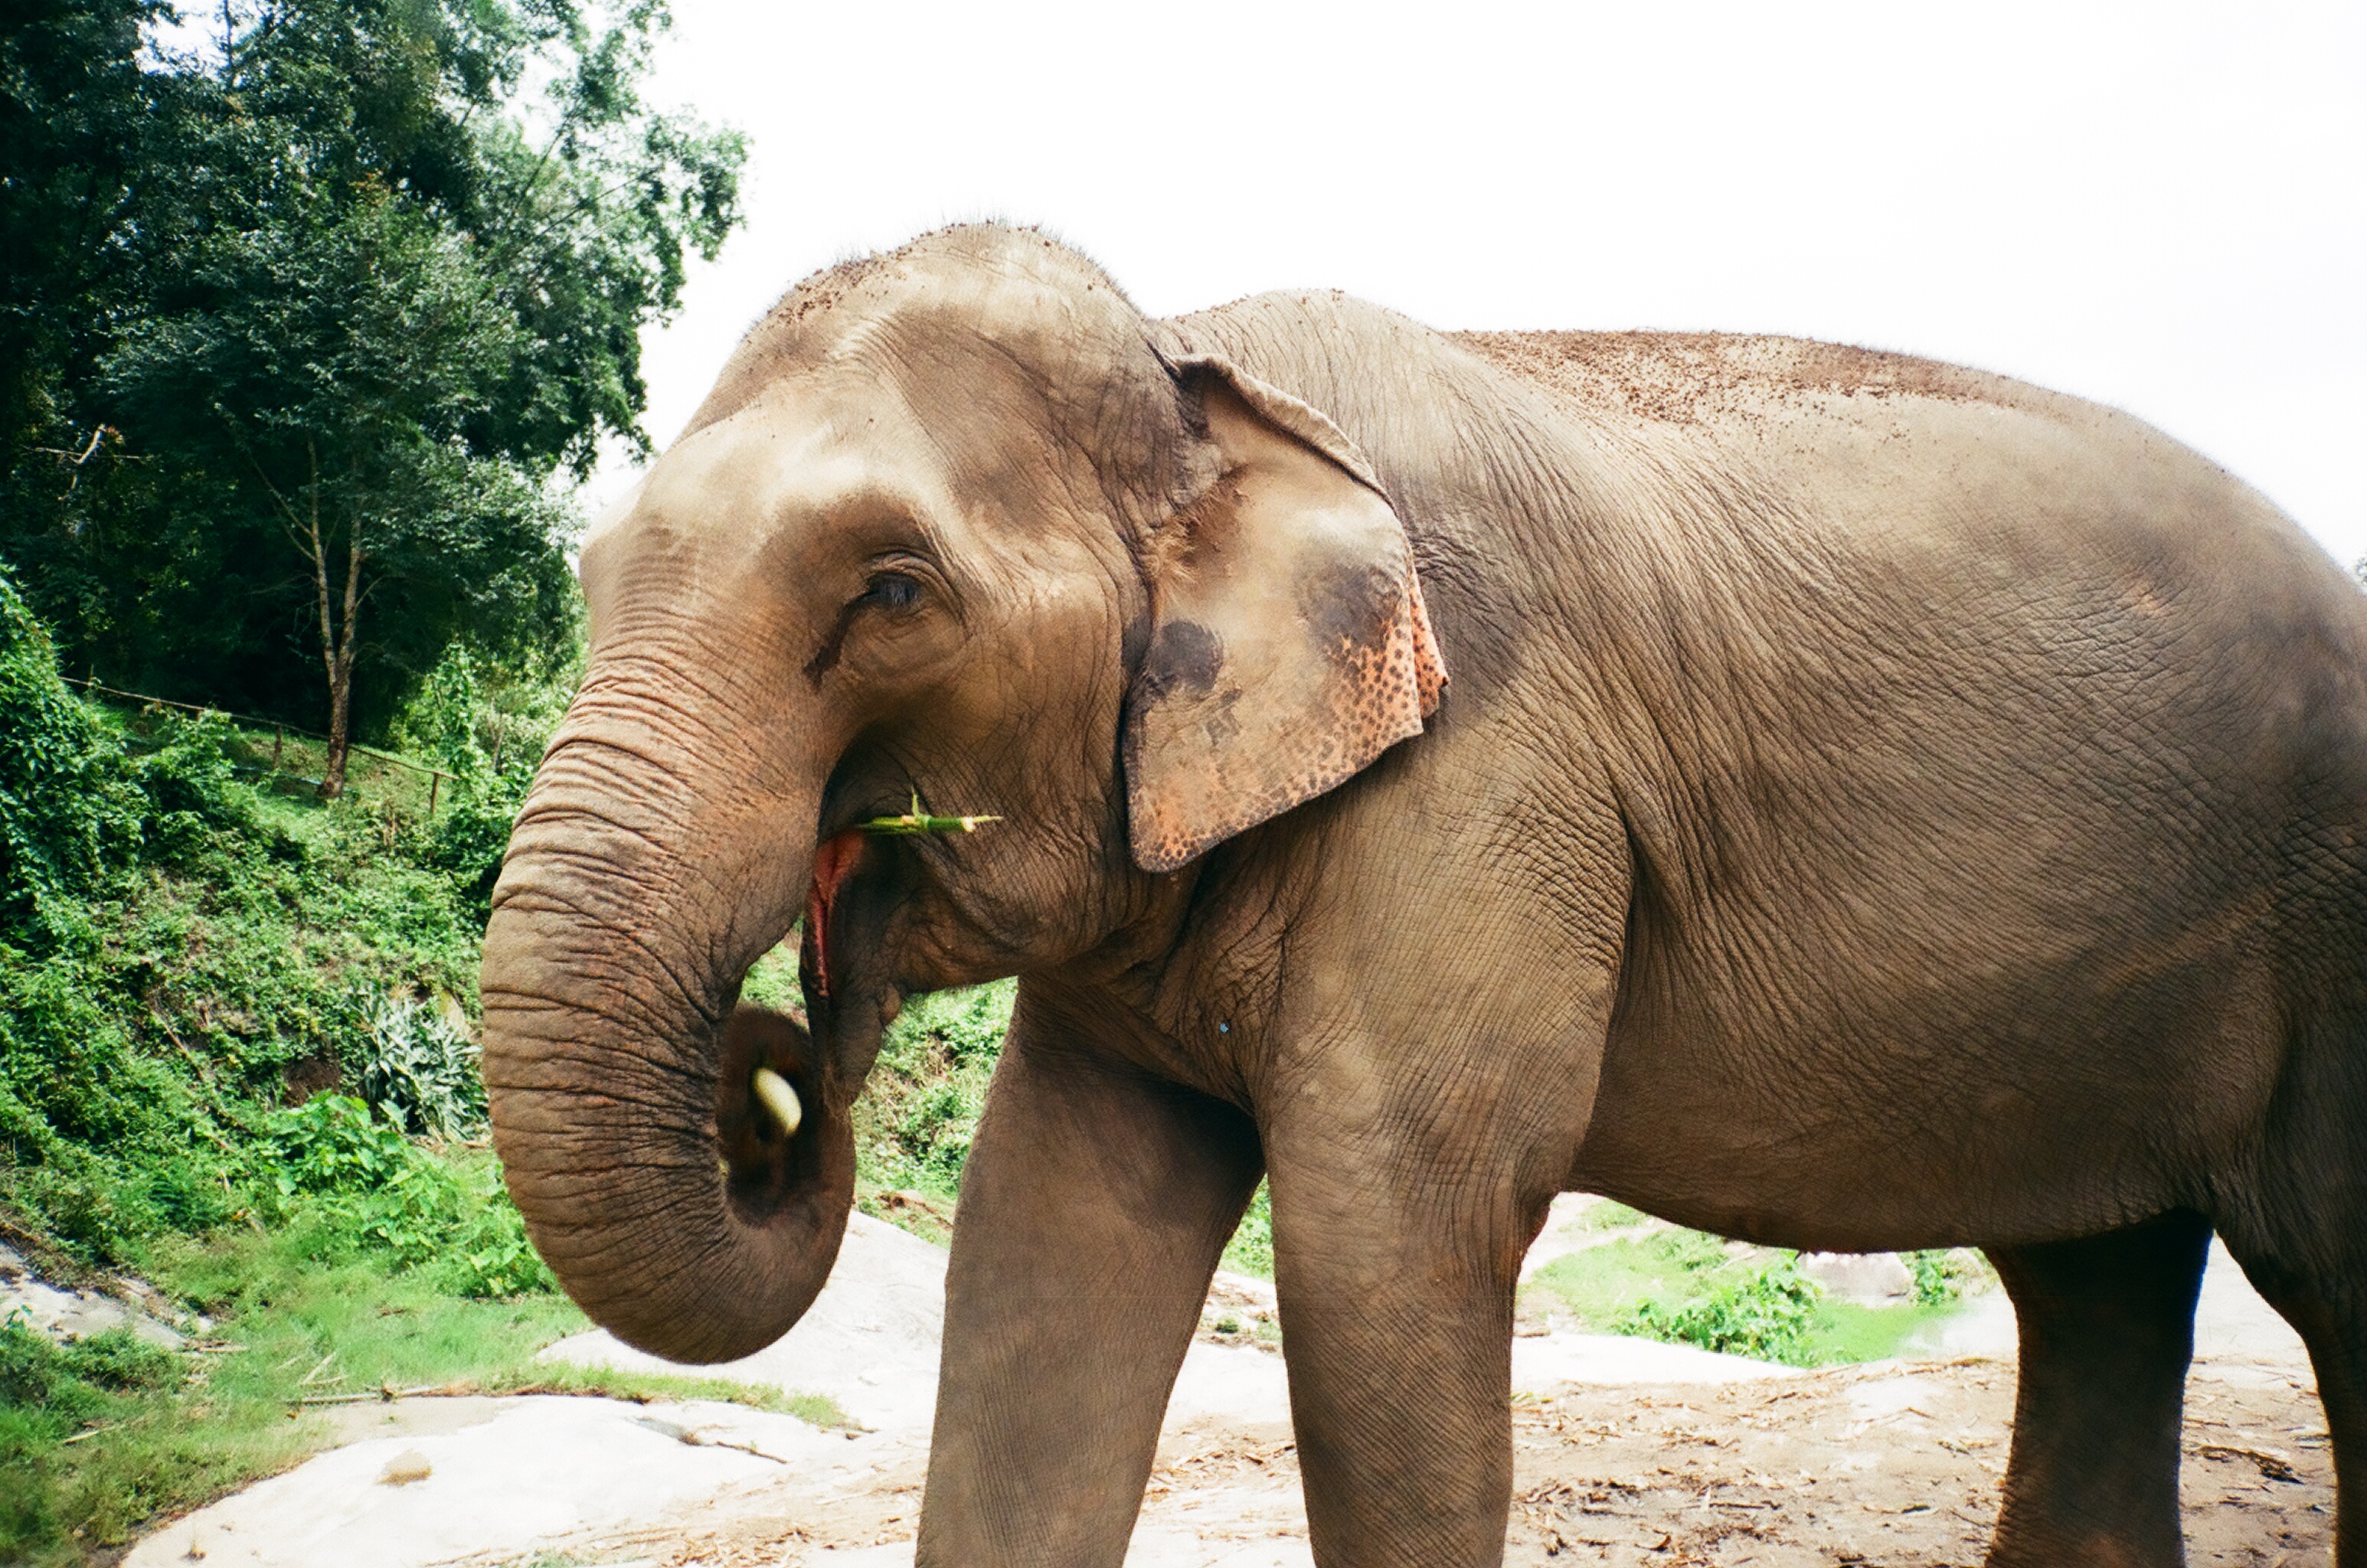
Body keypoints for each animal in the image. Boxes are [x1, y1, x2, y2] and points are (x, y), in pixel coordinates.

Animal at [476, 223, 2367, 1568]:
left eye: (889, 590)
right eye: (590, 571)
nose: (775, 1075)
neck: (1200, 364)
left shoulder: (1475, 776)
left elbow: (1385, 1245)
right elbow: (1049, 1232)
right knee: (2098, 1276)